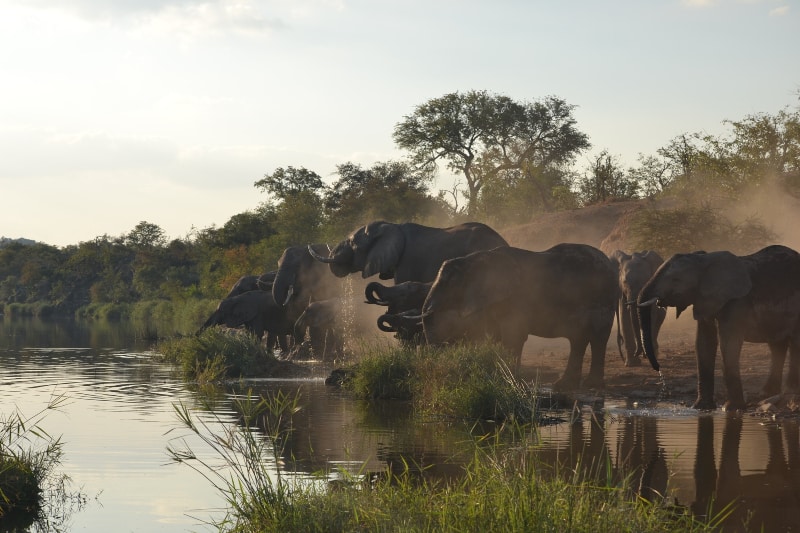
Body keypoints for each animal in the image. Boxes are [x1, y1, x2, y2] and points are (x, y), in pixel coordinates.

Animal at [636, 243, 800, 410]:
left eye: (676, 279)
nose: (658, 368)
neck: (704, 260)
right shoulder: (703, 298)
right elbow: (703, 342)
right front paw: (700, 407)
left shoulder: (736, 301)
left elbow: (728, 342)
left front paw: (732, 408)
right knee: (777, 345)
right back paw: (766, 394)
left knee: (794, 343)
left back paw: (789, 393)